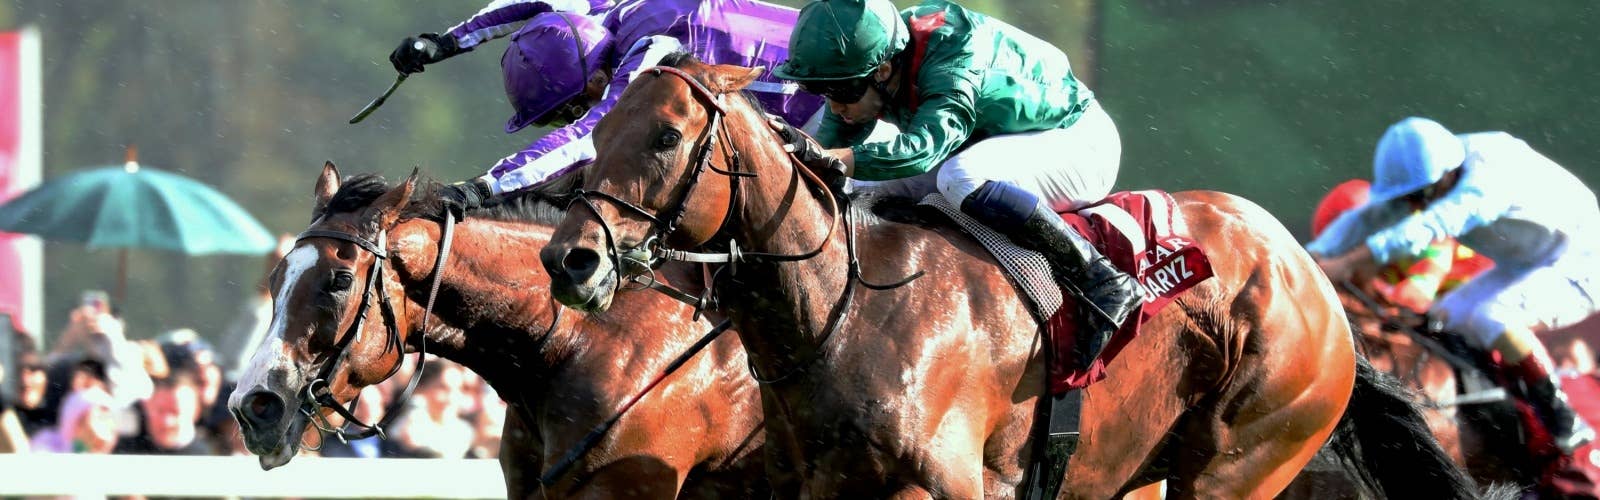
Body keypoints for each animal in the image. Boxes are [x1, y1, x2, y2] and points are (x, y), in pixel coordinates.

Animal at [537, 54, 1479, 498]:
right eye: (598, 127)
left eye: (665, 137)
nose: (568, 258)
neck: (846, 313)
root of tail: (1312, 281)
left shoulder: (951, 486)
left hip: (1241, 459)